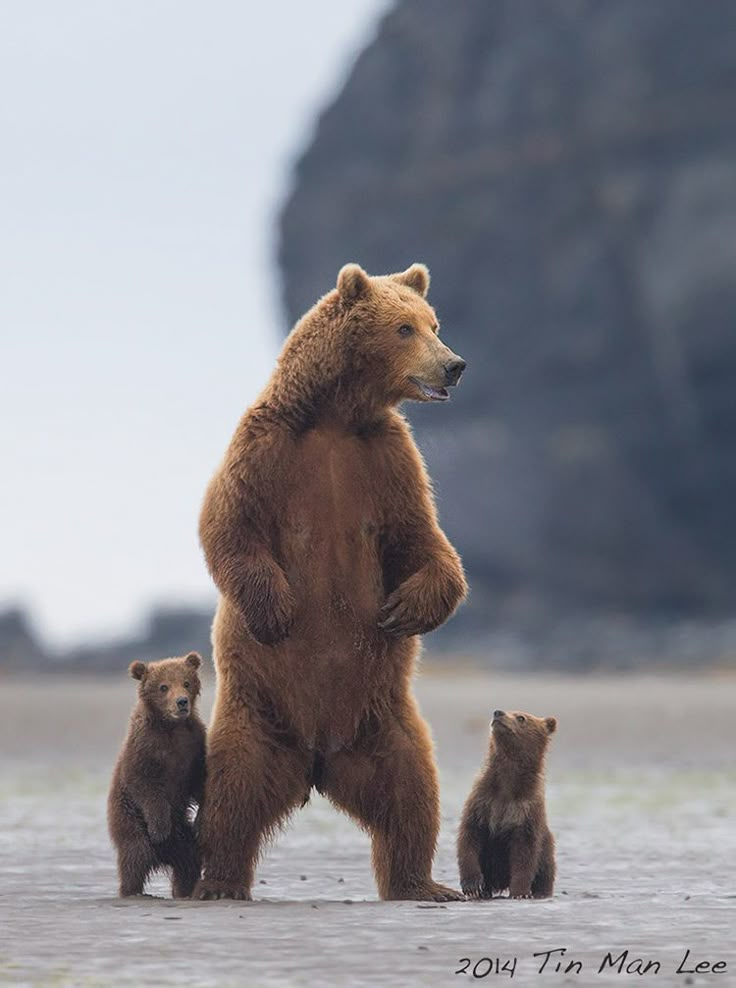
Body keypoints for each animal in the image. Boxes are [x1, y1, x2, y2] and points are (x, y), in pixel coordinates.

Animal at [106, 656, 206, 896]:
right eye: (163, 687)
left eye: (186, 682)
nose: (181, 702)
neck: (171, 727)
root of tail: (163, 857)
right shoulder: (144, 748)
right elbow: (145, 786)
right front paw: (160, 829)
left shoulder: (193, 747)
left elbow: (198, 781)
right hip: (129, 821)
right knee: (135, 857)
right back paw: (133, 890)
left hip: (183, 838)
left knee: (189, 862)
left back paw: (183, 890)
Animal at [196, 262, 466, 904]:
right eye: (403, 328)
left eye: (434, 323)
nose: (454, 364)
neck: (336, 418)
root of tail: (317, 762)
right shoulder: (266, 448)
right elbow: (228, 523)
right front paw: (275, 611)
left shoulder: (390, 463)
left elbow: (425, 541)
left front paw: (406, 608)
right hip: (256, 714)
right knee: (232, 794)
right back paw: (220, 881)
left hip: (384, 722)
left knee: (411, 792)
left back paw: (425, 883)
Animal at [458, 708, 556, 900]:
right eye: (510, 711)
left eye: (521, 717)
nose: (498, 712)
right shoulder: (482, 802)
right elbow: (469, 838)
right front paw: (472, 886)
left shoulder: (526, 810)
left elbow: (524, 855)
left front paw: (520, 892)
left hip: (547, 849)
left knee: (545, 874)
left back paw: (542, 893)